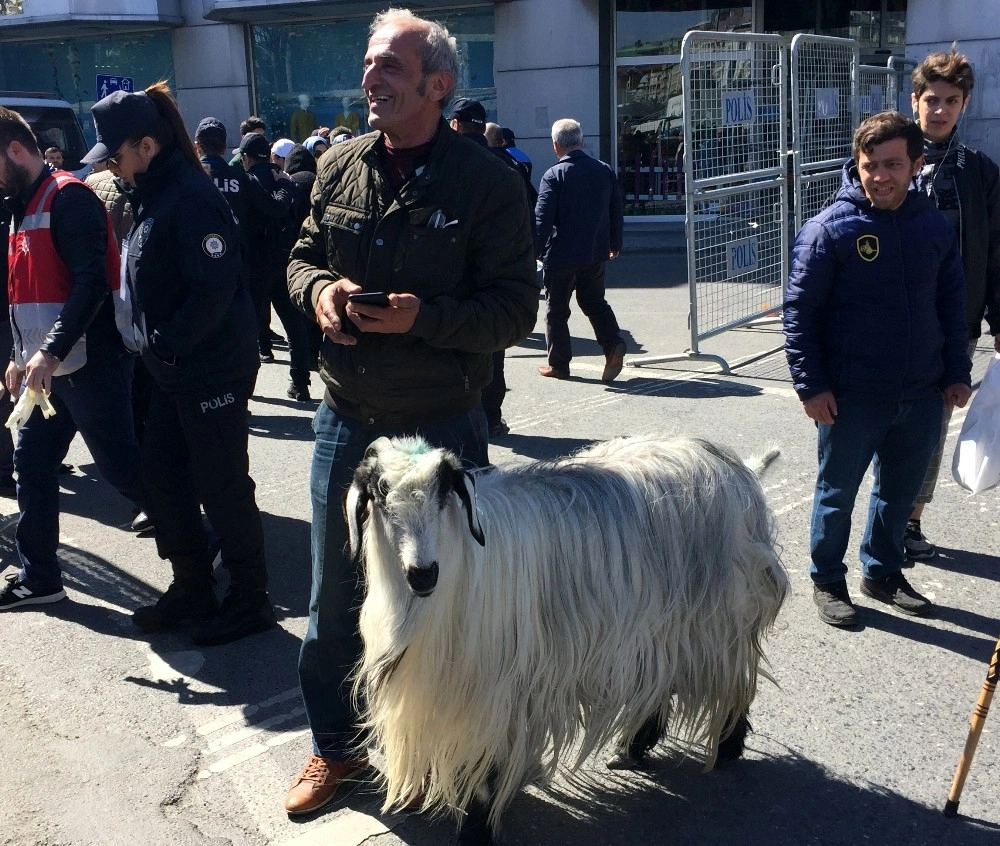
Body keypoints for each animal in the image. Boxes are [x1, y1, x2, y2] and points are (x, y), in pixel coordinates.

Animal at [348, 434, 784, 844]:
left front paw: (476, 830)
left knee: (733, 679)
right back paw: (634, 747)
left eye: (443, 490)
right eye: (380, 492)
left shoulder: (494, 694)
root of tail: (736, 466)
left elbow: (484, 767)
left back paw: (726, 746)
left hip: (718, 619)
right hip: (661, 625)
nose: (423, 573)